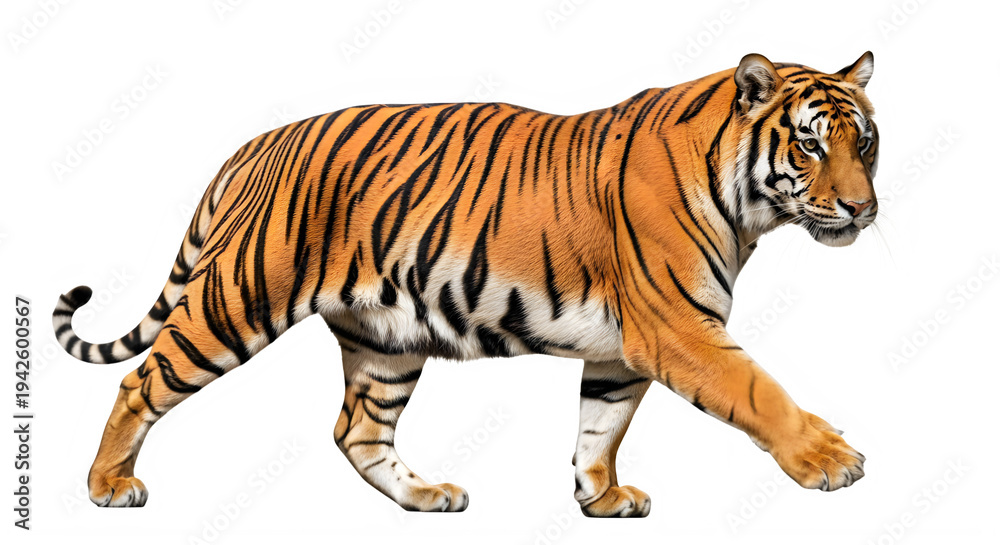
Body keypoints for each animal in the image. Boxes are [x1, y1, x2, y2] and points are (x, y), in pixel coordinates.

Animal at [53, 52, 878, 516]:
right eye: (810, 145)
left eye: (864, 141)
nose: (862, 208)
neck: (747, 207)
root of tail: (258, 143)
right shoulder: (677, 328)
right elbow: (759, 391)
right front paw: (830, 460)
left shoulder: (619, 352)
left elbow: (599, 426)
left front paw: (601, 497)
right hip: (236, 299)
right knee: (139, 382)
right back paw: (106, 485)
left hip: (385, 341)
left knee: (357, 429)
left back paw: (427, 496)